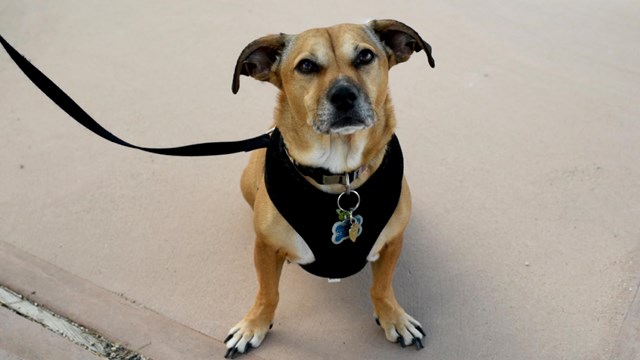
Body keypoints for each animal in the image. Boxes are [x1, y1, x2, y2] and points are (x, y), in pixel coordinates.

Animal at [225, 19, 436, 358]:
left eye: (365, 56)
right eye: (306, 66)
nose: (344, 96)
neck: (341, 177)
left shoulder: (393, 242)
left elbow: (382, 287)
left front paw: (393, 316)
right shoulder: (265, 248)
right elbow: (268, 292)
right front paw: (254, 324)